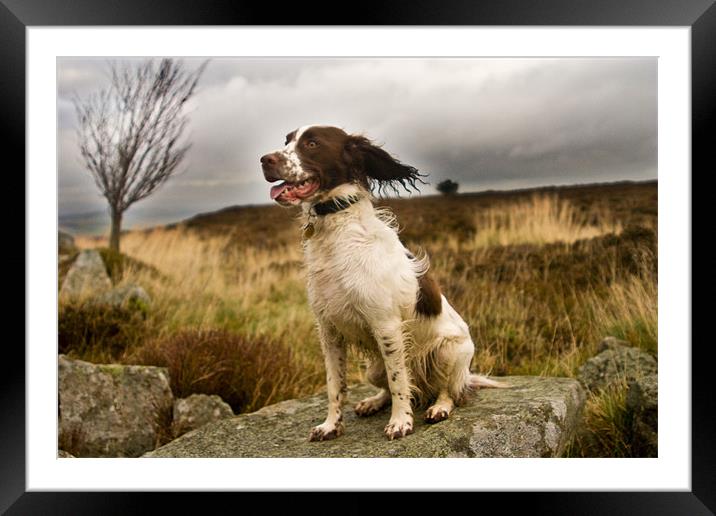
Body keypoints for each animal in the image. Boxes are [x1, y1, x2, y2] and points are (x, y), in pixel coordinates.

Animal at [260, 124, 506, 440]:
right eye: (287, 141)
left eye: (312, 143)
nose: (265, 160)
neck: (337, 231)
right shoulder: (328, 331)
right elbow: (335, 385)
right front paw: (331, 425)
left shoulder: (386, 325)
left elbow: (399, 380)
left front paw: (401, 422)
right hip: (372, 368)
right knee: (390, 386)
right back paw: (373, 402)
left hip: (448, 352)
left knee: (449, 390)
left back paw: (439, 407)